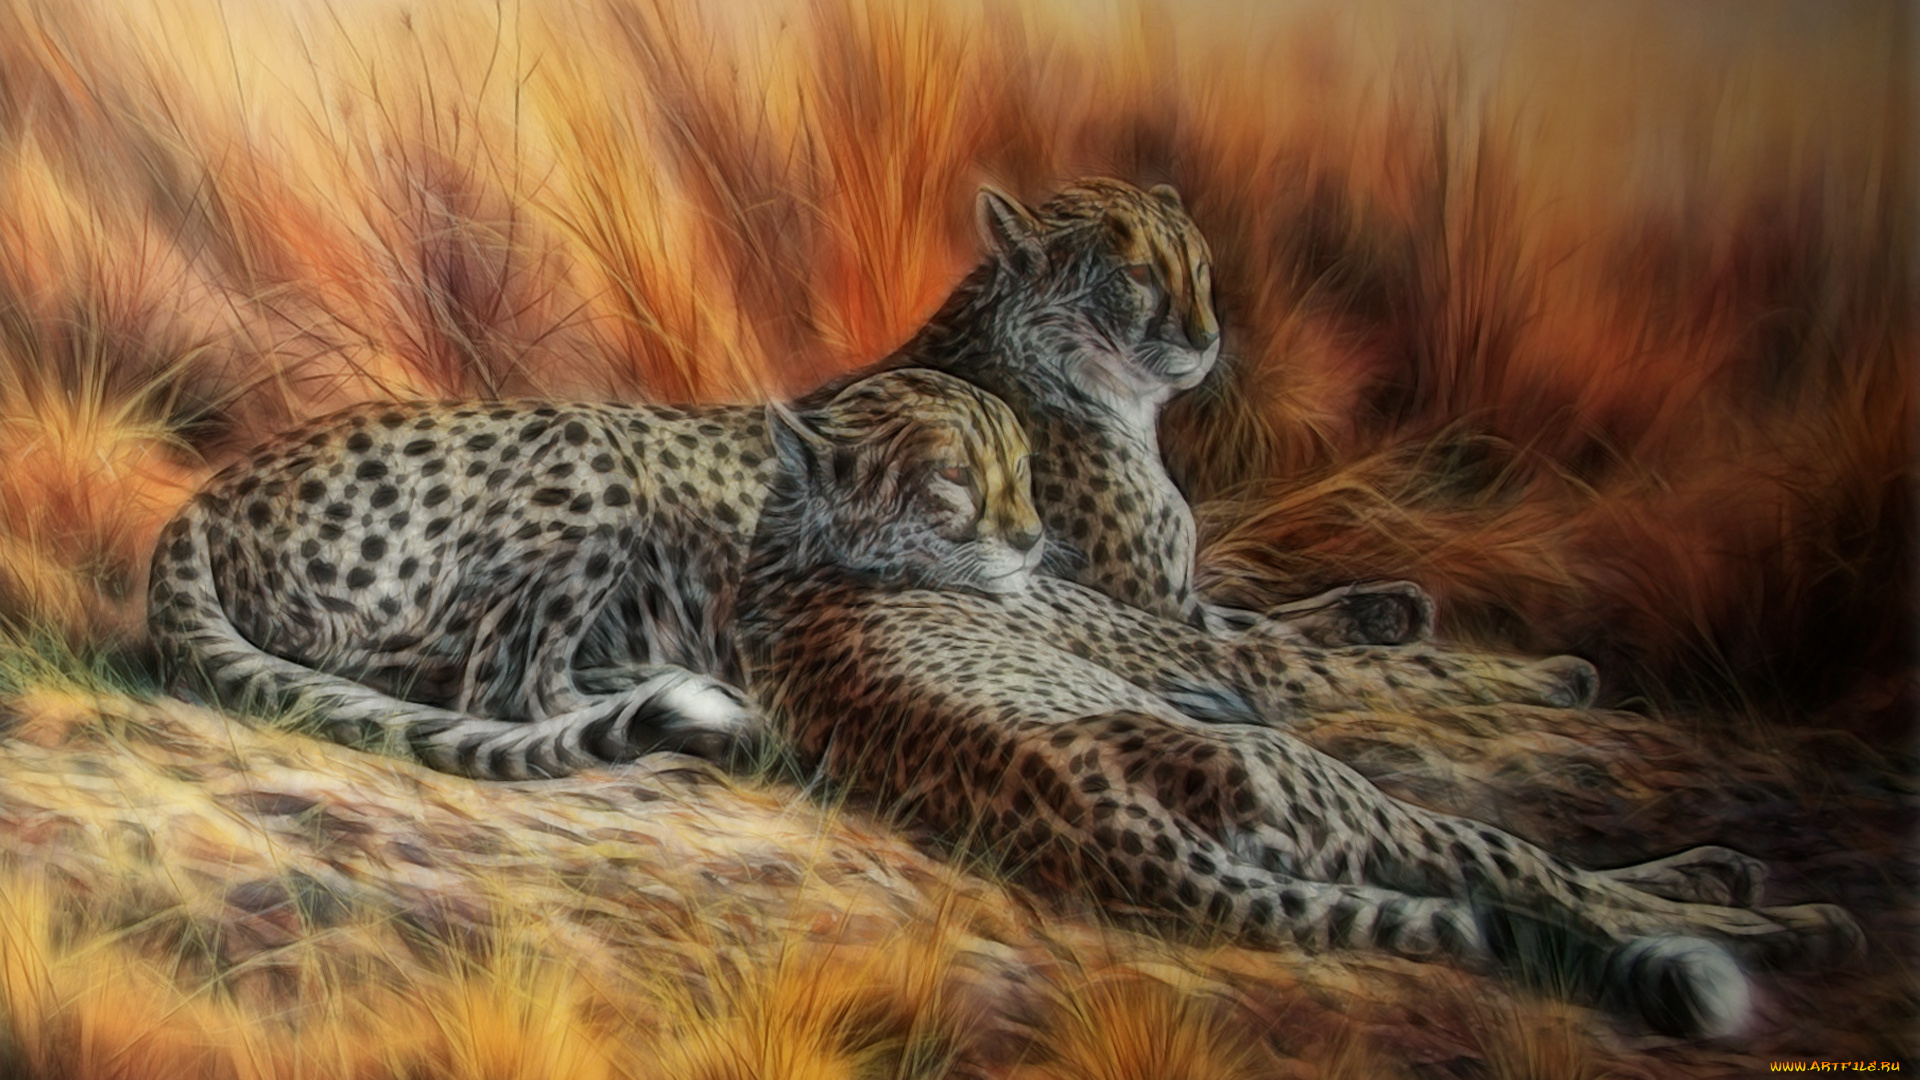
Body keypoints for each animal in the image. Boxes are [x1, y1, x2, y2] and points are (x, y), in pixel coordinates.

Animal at [736, 367, 1866, 1040]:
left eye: (1020, 467)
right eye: (953, 479)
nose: (1029, 535)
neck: (805, 537)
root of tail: (1114, 837)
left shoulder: (1204, 643)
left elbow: (1299, 632)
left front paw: (1395, 612)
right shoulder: (1220, 669)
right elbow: (1371, 673)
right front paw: (1553, 677)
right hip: (1349, 795)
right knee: (1561, 885)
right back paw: (1777, 915)